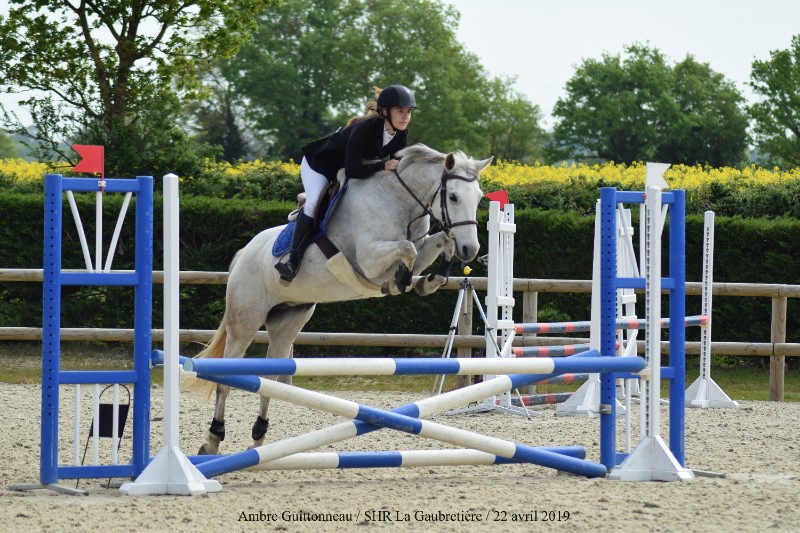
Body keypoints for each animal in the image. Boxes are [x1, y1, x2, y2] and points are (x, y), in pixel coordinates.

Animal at [188, 143, 490, 450]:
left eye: (479, 198)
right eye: (452, 197)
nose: (471, 250)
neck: (400, 201)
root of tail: (243, 254)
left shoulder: (421, 246)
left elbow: (440, 242)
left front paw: (429, 281)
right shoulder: (369, 259)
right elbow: (408, 249)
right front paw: (400, 281)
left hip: (287, 321)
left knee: (270, 379)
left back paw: (258, 439)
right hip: (245, 320)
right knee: (225, 379)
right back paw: (213, 439)